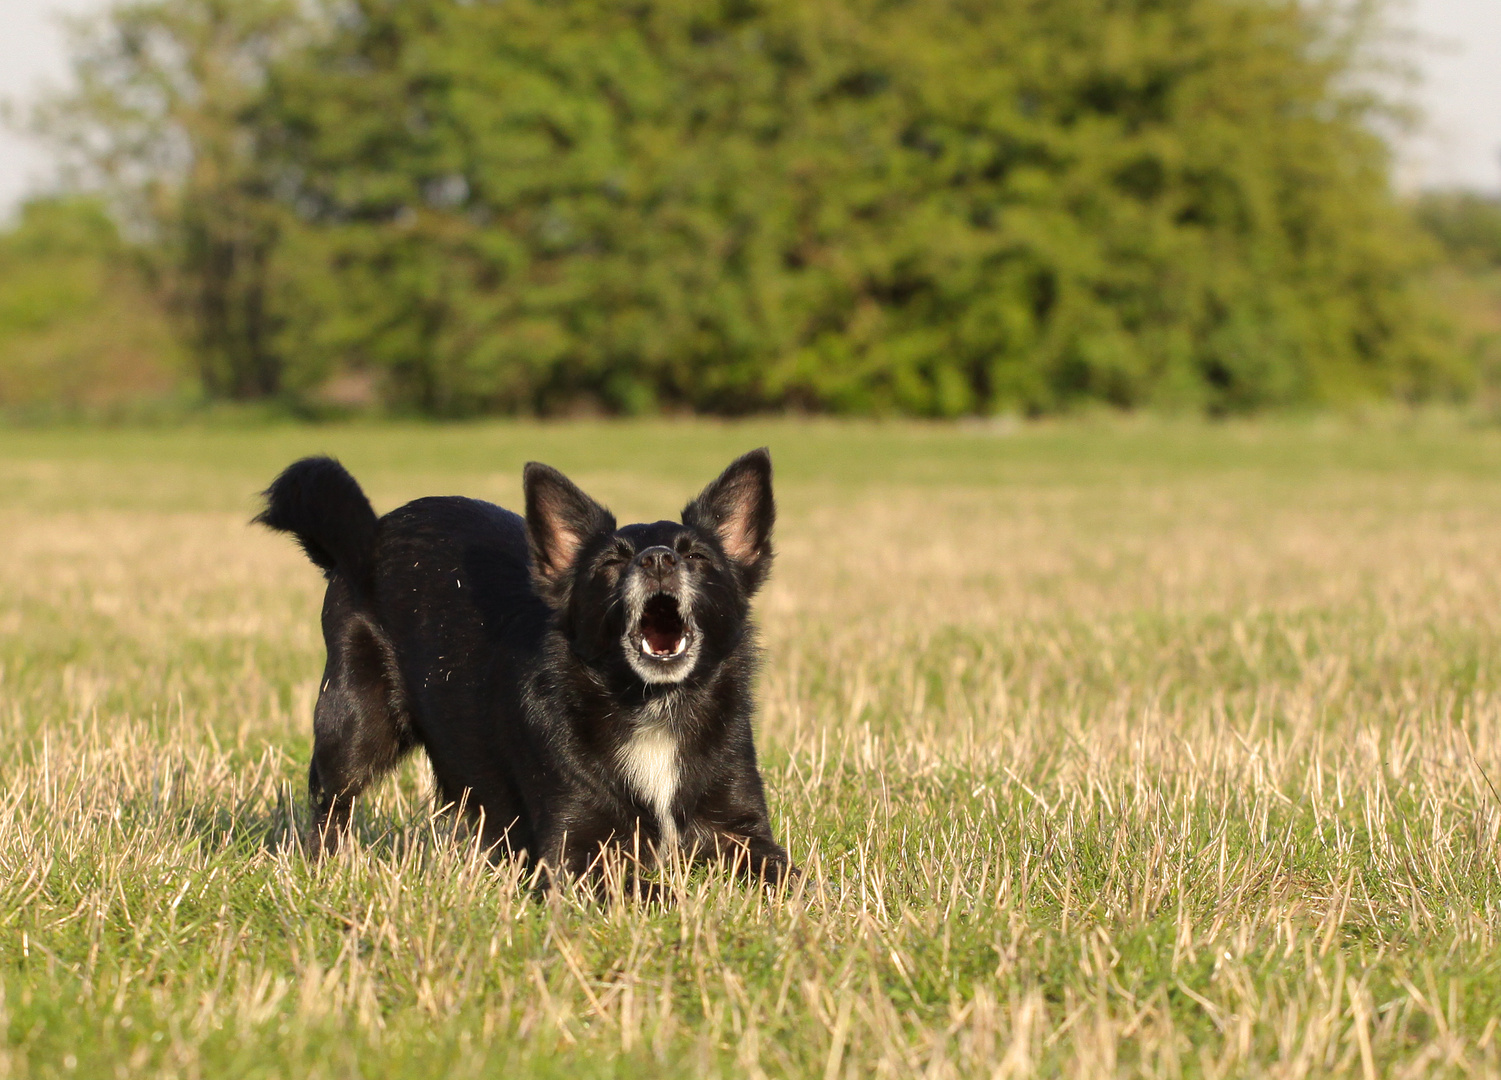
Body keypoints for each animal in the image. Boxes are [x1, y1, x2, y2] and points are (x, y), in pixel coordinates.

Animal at [255, 447, 798, 888]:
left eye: (698, 556)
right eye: (609, 564)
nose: (659, 559)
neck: (655, 707)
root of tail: (371, 532)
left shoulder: (743, 834)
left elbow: (792, 879)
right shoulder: (575, 856)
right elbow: (650, 892)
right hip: (354, 724)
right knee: (328, 803)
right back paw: (325, 866)